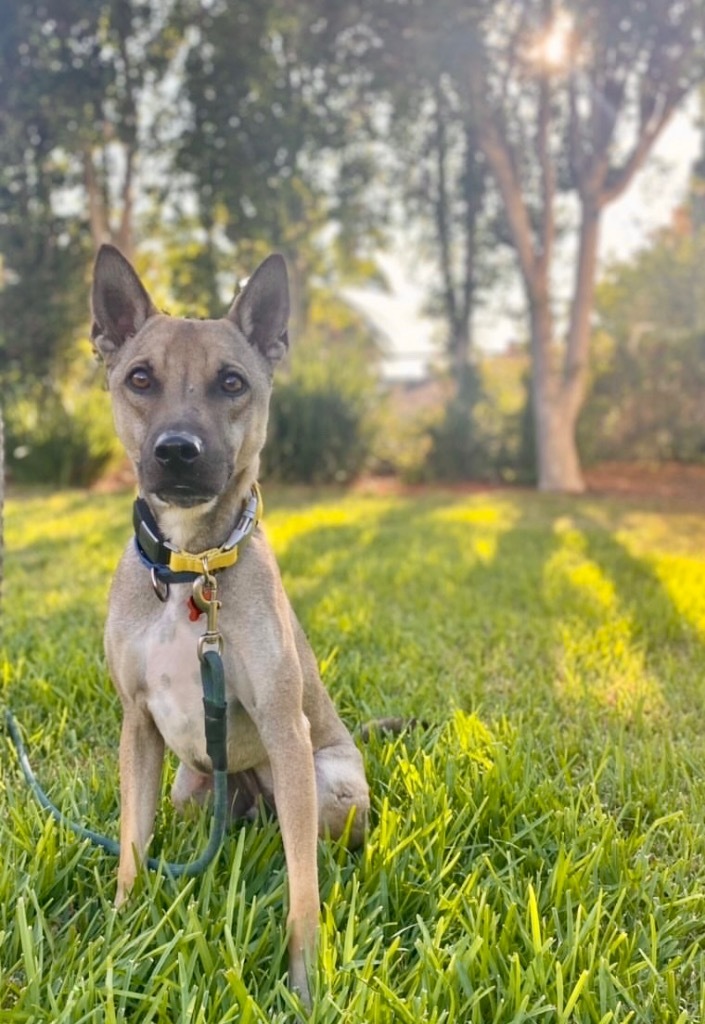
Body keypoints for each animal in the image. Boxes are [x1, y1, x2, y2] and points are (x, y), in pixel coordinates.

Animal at [90, 245, 370, 1007]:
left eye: (232, 382)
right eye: (140, 378)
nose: (177, 451)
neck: (192, 569)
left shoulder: (282, 725)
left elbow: (304, 891)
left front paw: (305, 983)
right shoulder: (137, 725)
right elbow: (131, 846)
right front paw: (120, 934)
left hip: (325, 783)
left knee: (313, 843)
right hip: (190, 789)